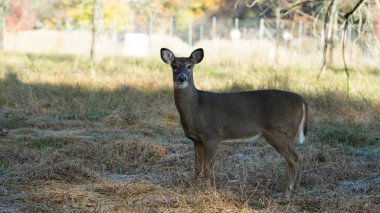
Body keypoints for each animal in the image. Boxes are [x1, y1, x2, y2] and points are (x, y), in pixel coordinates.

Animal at [160, 47, 308, 200]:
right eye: (174, 65)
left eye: (190, 66)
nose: (181, 77)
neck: (196, 107)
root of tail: (301, 100)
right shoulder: (197, 140)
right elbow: (197, 167)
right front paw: (193, 189)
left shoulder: (212, 136)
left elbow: (207, 168)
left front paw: (209, 192)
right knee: (300, 157)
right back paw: (297, 189)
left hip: (280, 132)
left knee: (295, 159)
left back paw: (286, 195)